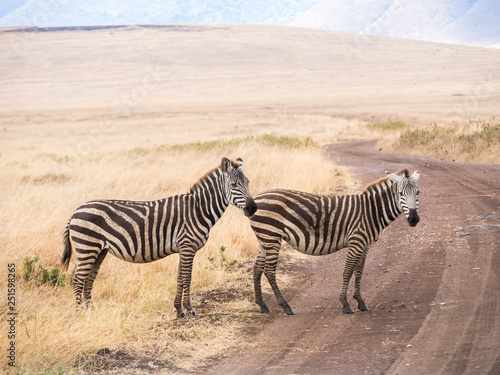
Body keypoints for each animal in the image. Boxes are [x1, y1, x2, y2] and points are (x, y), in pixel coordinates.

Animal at [61, 157, 258, 318]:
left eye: (248, 182)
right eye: (233, 185)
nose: (253, 209)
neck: (198, 209)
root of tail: (76, 211)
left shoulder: (183, 249)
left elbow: (180, 277)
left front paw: (179, 310)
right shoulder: (188, 246)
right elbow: (187, 277)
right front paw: (189, 310)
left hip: (99, 250)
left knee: (89, 278)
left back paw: (90, 310)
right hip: (87, 247)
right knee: (77, 280)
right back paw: (80, 314)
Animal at [249, 169, 418, 316]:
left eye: (418, 193)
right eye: (401, 194)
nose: (414, 219)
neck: (371, 211)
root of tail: (256, 198)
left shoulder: (365, 244)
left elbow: (359, 271)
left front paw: (360, 301)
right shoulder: (356, 241)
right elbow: (348, 271)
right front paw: (345, 303)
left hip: (264, 238)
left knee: (257, 268)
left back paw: (262, 305)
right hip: (271, 236)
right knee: (269, 271)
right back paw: (285, 306)